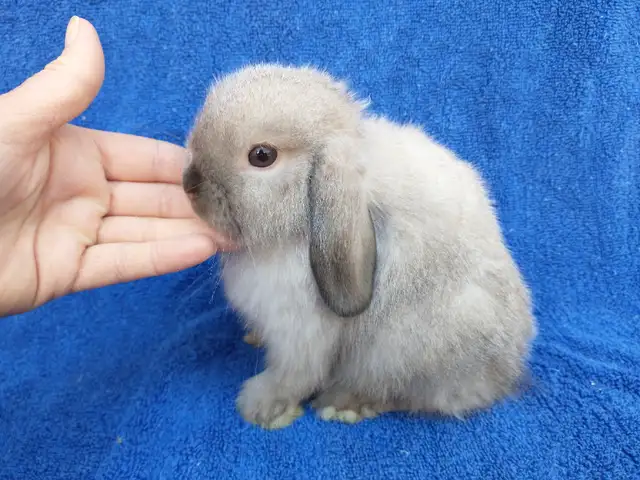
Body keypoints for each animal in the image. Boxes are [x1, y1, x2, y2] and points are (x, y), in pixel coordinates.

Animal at [182, 63, 537, 429]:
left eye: (262, 156)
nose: (189, 182)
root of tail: (505, 373)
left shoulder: (302, 332)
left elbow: (296, 375)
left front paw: (259, 406)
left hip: (400, 351)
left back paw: (344, 405)